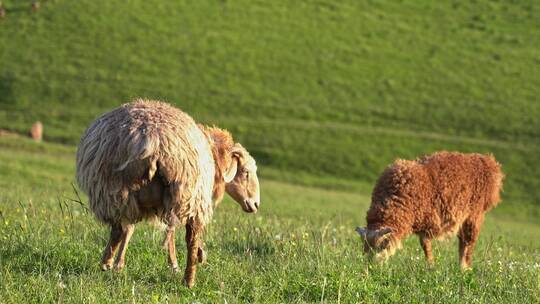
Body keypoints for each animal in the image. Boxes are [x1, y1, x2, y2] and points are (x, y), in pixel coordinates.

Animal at [76, 100, 260, 288]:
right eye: (245, 172)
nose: (255, 204)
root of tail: (152, 141)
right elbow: (168, 232)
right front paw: (178, 263)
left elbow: (137, 229)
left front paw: (119, 265)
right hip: (188, 194)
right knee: (190, 239)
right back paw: (188, 279)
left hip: (115, 190)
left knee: (119, 227)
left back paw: (108, 261)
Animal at [356, 151, 504, 268]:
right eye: (364, 248)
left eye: (380, 247)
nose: (369, 266)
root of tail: (488, 162)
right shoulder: (424, 222)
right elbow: (425, 246)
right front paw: (430, 265)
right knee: (463, 241)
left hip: (474, 214)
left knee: (469, 242)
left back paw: (464, 268)